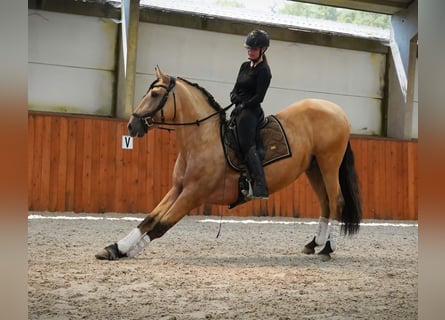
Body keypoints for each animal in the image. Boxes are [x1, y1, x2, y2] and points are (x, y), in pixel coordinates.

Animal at [94, 66, 360, 262]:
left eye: (156, 95)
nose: (132, 125)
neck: (201, 140)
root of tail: (338, 111)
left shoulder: (193, 194)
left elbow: (161, 225)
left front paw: (128, 251)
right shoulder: (178, 188)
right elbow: (149, 219)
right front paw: (115, 248)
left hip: (328, 164)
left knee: (336, 201)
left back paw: (327, 249)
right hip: (313, 168)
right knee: (325, 204)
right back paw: (313, 244)